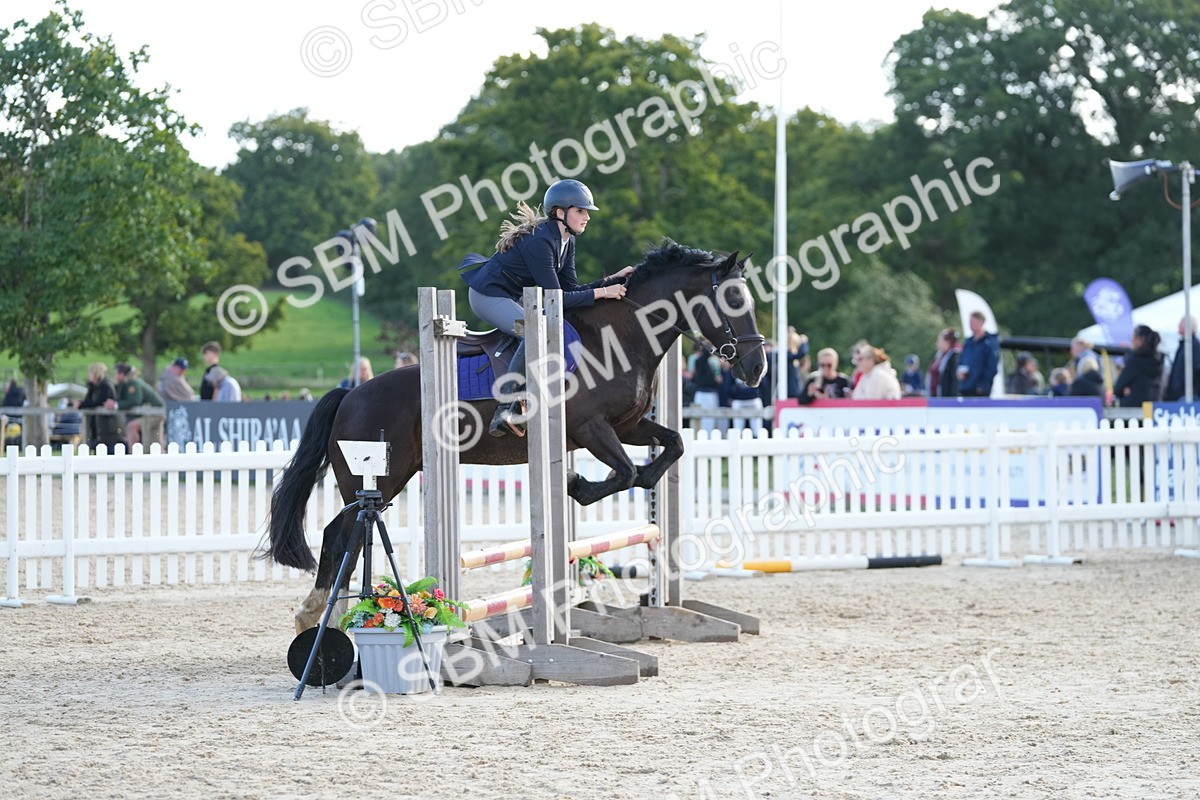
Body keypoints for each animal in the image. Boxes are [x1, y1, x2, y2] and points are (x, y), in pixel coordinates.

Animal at [267, 243, 768, 632]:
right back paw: (319, 619)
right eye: (732, 302)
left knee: (340, 535)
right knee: (342, 536)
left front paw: (608, 484)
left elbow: (672, 448)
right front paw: (577, 486)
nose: (758, 369)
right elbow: (625, 471)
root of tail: (350, 395)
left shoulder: (628, 425)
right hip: (375, 480)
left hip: (386, 479)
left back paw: (321, 620)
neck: (620, 336)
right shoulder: (591, 428)